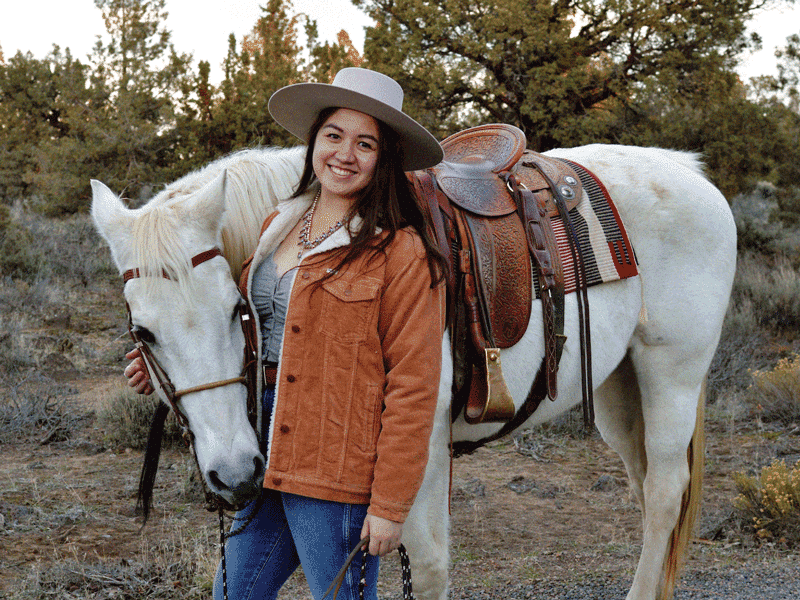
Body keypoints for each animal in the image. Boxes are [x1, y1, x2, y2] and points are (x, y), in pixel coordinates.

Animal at [90, 144, 736, 600]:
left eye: (234, 310)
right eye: (142, 333)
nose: (237, 473)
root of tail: (690, 172)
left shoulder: (419, 450)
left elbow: (424, 570)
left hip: (671, 374)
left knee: (664, 492)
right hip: (619, 389)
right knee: (648, 489)